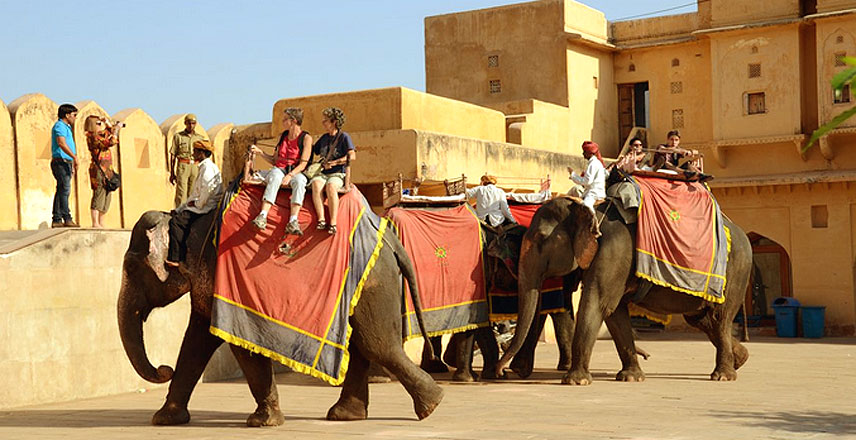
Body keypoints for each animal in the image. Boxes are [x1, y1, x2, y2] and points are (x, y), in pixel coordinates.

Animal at [120, 210, 444, 426]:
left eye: (132, 269)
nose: (164, 369)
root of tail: (390, 238)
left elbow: (238, 343)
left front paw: (262, 422)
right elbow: (196, 341)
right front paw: (164, 419)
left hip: (373, 282)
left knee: (377, 345)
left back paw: (431, 406)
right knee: (362, 344)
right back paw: (346, 415)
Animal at [494, 198, 748, 384]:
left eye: (540, 238)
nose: (501, 371)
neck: (591, 213)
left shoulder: (612, 252)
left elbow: (598, 305)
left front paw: (575, 381)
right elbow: (615, 313)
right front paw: (631, 378)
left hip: (735, 272)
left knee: (719, 317)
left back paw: (723, 376)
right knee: (702, 319)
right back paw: (741, 359)